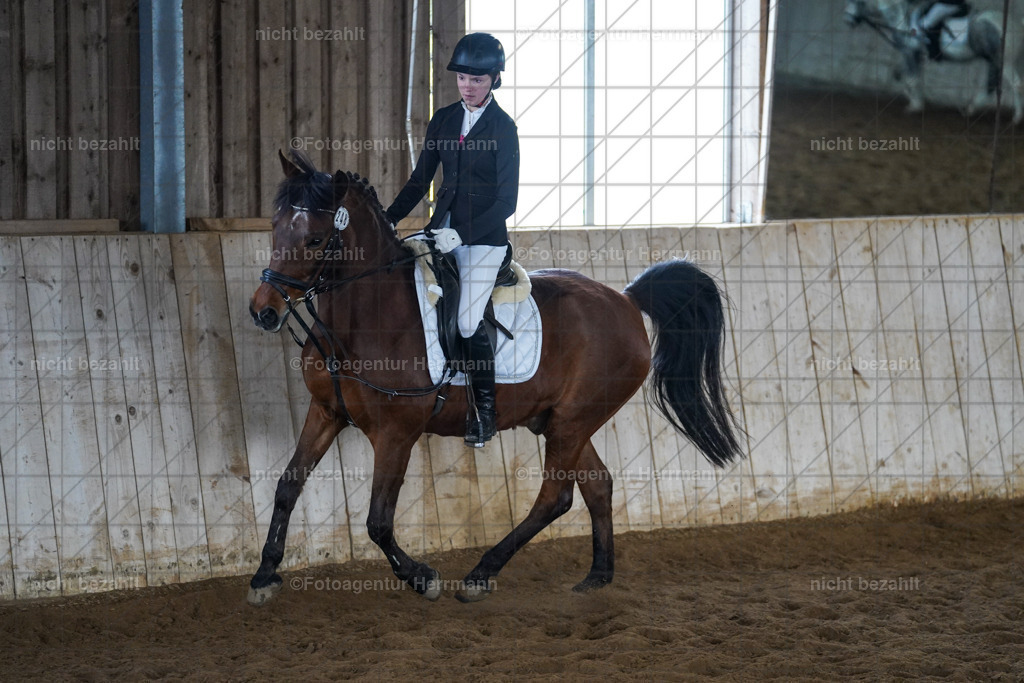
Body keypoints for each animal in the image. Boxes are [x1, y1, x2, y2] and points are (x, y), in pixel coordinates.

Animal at [245, 150, 743, 606]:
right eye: (275, 228)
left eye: (314, 240)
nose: (263, 311)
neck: (365, 319)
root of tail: (625, 299)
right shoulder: (326, 411)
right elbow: (287, 486)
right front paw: (265, 575)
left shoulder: (396, 432)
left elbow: (378, 521)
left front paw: (422, 577)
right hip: (561, 421)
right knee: (597, 484)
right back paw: (597, 575)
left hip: (572, 421)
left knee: (555, 497)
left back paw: (481, 573)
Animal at [844, 0, 1024, 123]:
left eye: (856, 1)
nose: (848, 21)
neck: (902, 19)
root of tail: (1014, 25)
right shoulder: (915, 55)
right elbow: (904, 76)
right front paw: (917, 101)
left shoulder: (910, 52)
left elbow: (911, 79)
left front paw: (915, 105)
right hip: (995, 61)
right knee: (993, 85)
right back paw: (972, 108)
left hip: (1002, 61)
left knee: (1014, 84)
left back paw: (1016, 117)